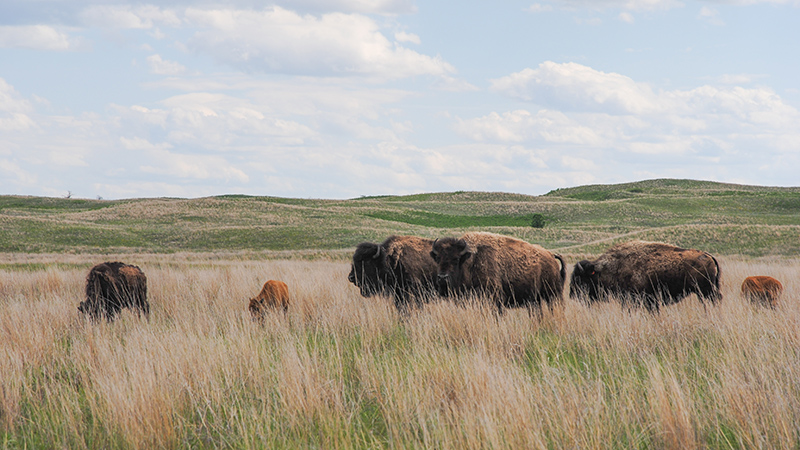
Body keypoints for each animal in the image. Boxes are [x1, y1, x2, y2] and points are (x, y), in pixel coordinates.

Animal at [428, 232, 564, 312]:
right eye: (437, 258)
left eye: (456, 259)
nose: (442, 278)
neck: (472, 260)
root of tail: (551, 256)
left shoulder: (494, 298)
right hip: (536, 300)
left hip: (553, 294)